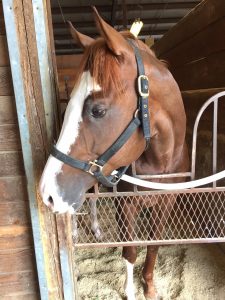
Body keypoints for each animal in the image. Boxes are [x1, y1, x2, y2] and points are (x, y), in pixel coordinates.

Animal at [39, 7, 189, 300]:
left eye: (98, 110)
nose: (46, 193)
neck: (161, 160)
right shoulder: (124, 204)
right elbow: (129, 250)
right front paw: (130, 291)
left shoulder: (167, 202)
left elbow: (154, 245)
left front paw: (149, 287)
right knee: (84, 202)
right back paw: (78, 232)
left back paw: (96, 229)